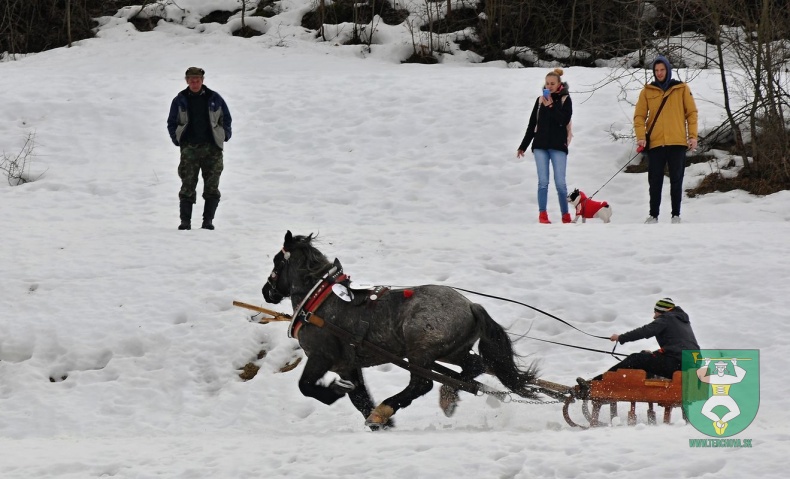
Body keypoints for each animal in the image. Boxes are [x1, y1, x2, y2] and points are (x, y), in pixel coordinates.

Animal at [262, 231, 540, 430]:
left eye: (276, 263)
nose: (266, 292)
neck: (317, 301)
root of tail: (471, 305)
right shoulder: (347, 366)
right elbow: (360, 398)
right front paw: (381, 423)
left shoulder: (321, 357)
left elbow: (306, 387)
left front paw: (337, 393)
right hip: (451, 351)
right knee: (474, 367)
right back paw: (446, 396)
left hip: (421, 353)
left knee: (422, 384)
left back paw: (389, 408)